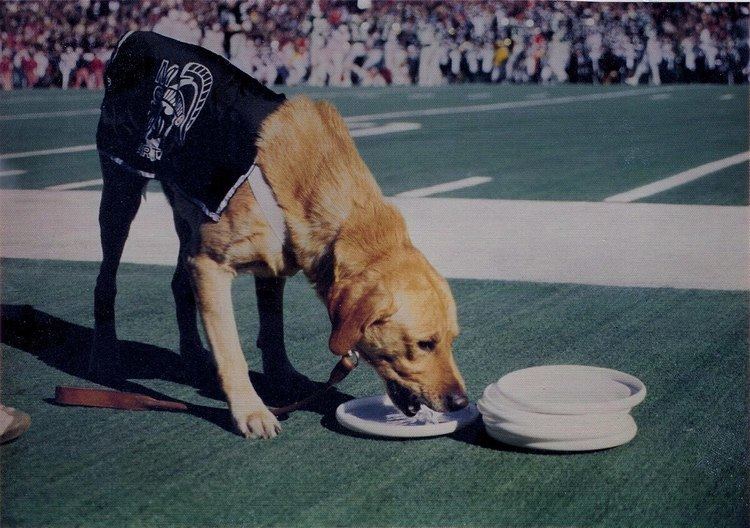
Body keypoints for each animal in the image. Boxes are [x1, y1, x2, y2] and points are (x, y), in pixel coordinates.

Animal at [91, 31, 468, 439]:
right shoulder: (210, 266)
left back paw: (192, 355)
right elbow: (232, 350)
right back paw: (106, 355)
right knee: (106, 282)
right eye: (425, 344)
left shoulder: (271, 268)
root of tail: (139, 36)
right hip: (121, 195)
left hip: (187, 217)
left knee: (179, 285)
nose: (461, 402)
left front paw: (281, 380)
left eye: (452, 341)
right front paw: (250, 410)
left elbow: (273, 334)